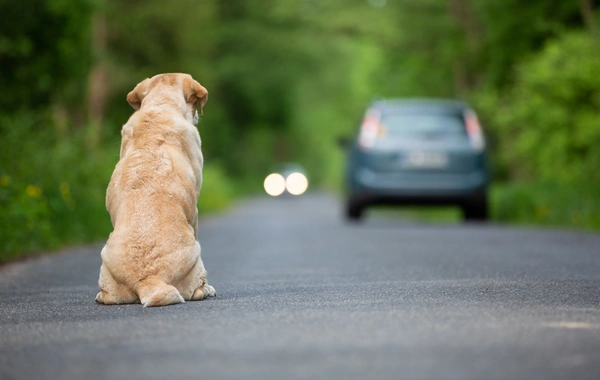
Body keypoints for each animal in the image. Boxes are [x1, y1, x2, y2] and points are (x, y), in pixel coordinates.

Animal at [94, 72, 216, 308]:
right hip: (196, 256)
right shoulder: (195, 212)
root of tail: (150, 278)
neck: (161, 105)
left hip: (106, 263)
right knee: (197, 289)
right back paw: (207, 290)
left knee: (107, 295)